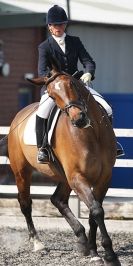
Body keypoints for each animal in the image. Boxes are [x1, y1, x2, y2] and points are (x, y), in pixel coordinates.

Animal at [4, 61, 120, 264]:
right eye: (51, 95)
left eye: (72, 84)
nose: (79, 119)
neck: (92, 134)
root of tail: (20, 114)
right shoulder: (78, 177)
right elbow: (96, 210)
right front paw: (108, 254)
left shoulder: (104, 178)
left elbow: (94, 213)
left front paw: (94, 250)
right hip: (22, 171)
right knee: (25, 202)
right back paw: (38, 243)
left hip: (64, 177)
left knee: (57, 199)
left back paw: (81, 240)